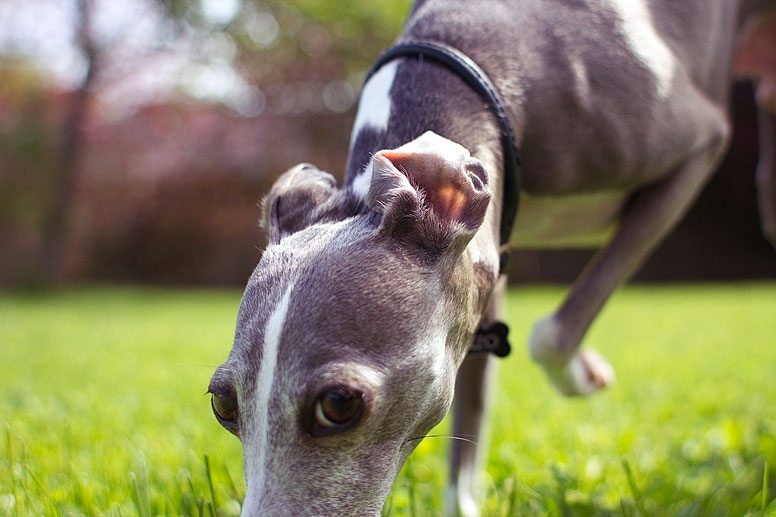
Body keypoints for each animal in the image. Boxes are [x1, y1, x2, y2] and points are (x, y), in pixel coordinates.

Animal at [209, 2, 776, 512]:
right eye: (222, 403)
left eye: (338, 405)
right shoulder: (484, 270)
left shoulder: (703, 143)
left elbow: (551, 335)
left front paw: (585, 374)